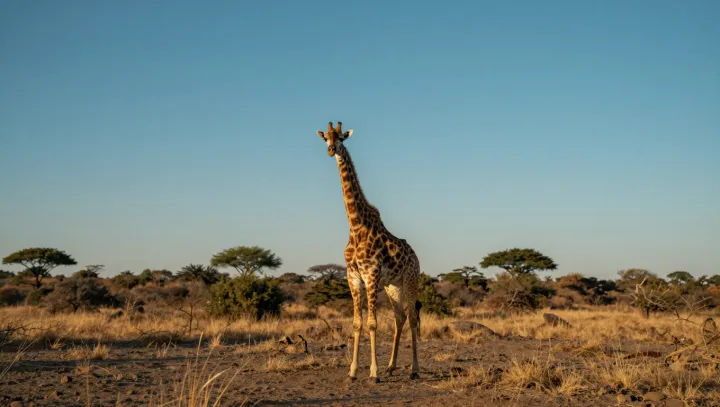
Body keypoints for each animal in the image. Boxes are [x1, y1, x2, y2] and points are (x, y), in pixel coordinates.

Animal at [315, 121, 421, 384]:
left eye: (342, 138)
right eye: (326, 138)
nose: (331, 150)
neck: (355, 226)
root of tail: (416, 256)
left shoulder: (371, 274)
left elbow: (372, 323)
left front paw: (372, 373)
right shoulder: (353, 276)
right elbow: (356, 323)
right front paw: (353, 371)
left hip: (410, 279)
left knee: (412, 318)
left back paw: (414, 370)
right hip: (392, 285)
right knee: (399, 317)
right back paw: (391, 367)